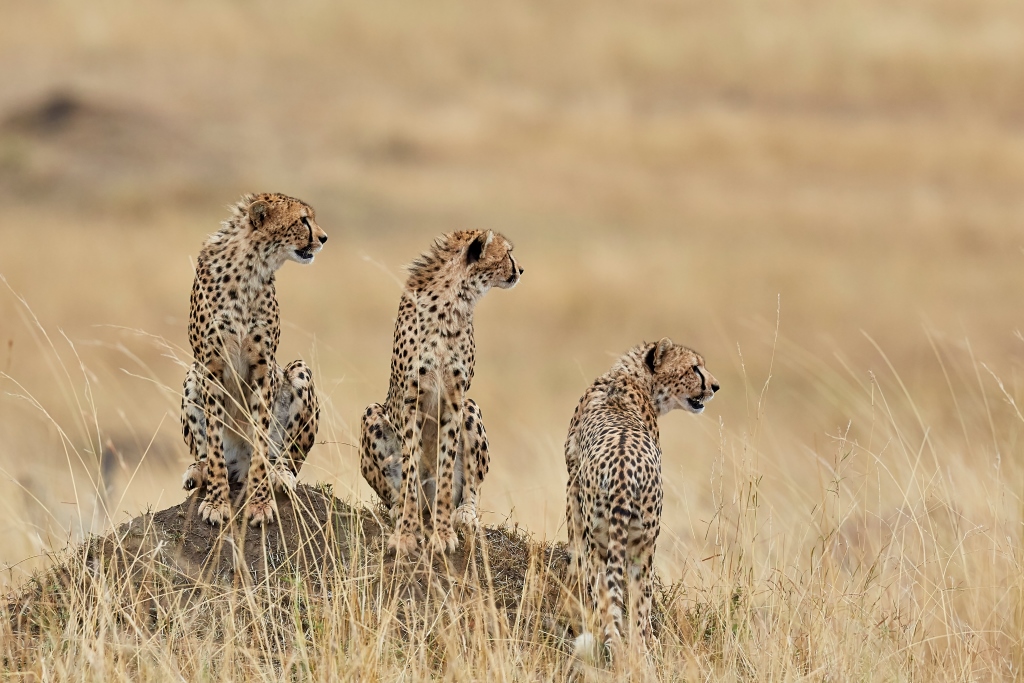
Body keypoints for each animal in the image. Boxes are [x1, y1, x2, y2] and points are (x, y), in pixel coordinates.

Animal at [180, 194, 327, 528]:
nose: (324, 238)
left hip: (299, 371)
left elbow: (260, 442)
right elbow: (215, 446)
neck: (251, 267)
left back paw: (279, 473)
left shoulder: (263, 367)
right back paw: (198, 471)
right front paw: (216, 502)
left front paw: (260, 504)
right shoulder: (210, 366)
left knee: (284, 458)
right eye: (303, 220)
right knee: (206, 454)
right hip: (191, 375)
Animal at [358, 229, 520, 557]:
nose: (520, 269)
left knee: (469, 489)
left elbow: (445, 470)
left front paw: (443, 535)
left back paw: (464, 514)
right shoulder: (411, 400)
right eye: (507, 253)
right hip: (372, 413)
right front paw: (405, 535)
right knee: (398, 492)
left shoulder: (455, 399)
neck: (453, 302)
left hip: (471, 409)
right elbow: (409, 470)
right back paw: (400, 509)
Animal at [569, 339, 720, 659]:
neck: (632, 377)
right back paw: (645, 646)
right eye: (694, 368)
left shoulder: (572, 481)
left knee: (606, 598)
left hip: (602, 542)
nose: (715, 386)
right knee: (639, 608)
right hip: (644, 544)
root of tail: (624, 475)